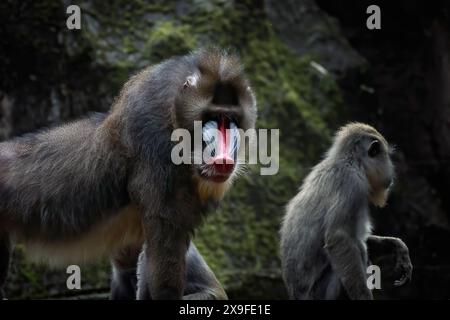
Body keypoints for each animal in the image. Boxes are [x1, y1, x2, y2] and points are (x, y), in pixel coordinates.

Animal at [280, 123, 414, 300]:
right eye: (386, 157)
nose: (391, 170)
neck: (351, 161)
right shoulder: (353, 184)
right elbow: (339, 238)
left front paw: (395, 245)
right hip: (322, 293)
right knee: (356, 250)